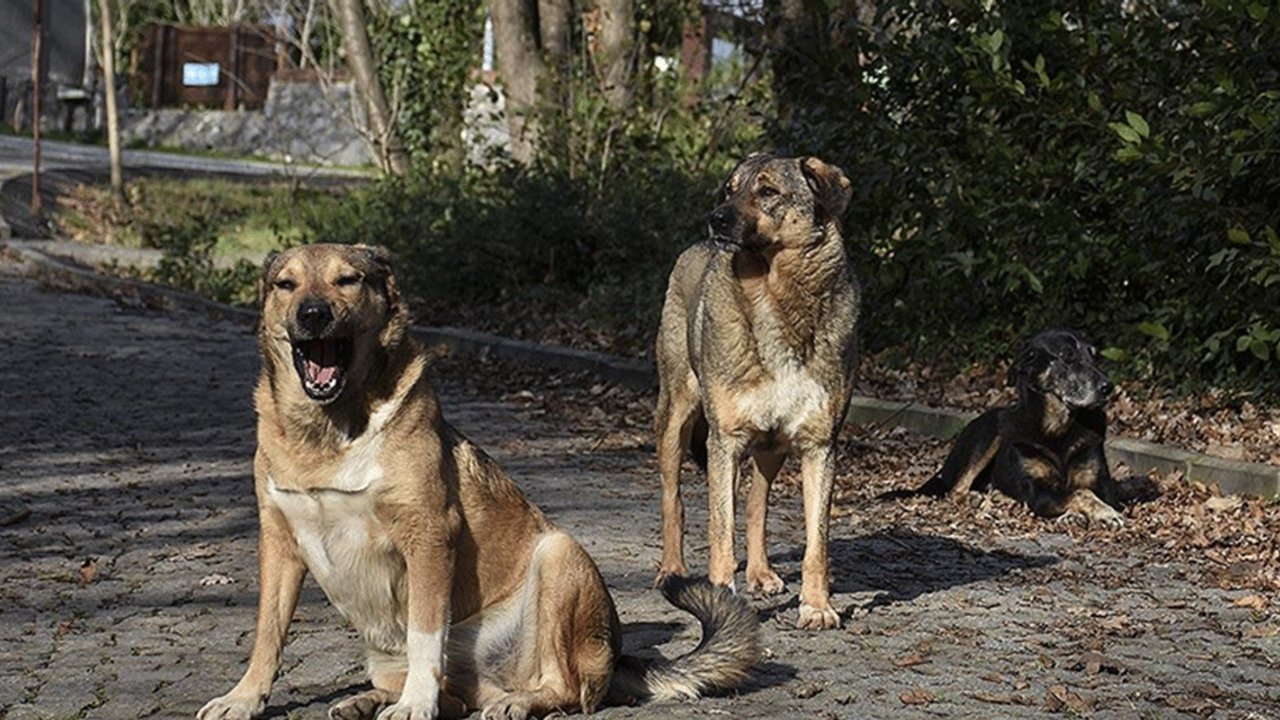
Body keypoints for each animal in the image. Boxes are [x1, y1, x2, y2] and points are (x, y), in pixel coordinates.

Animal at [199, 242, 757, 717]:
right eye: (286, 284)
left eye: (347, 279)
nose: (312, 315)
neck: (329, 433)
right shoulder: (279, 540)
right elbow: (267, 633)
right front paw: (244, 698)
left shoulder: (428, 534)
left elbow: (426, 634)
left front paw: (414, 706)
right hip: (382, 652)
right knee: (454, 697)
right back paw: (369, 701)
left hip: (559, 557)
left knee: (566, 690)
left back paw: (513, 703)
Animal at [660, 152, 860, 627]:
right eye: (729, 189)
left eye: (767, 191)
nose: (715, 219)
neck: (774, 295)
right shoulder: (724, 441)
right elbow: (719, 531)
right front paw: (720, 599)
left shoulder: (819, 446)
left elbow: (816, 544)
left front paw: (817, 606)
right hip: (676, 419)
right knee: (674, 500)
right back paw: (672, 569)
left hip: (772, 447)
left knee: (756, 503)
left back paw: (761, 573)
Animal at [885, 327, 1126, 525]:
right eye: (1068, 356)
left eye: (1094, 356)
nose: (1108, 387)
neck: (1057, 428)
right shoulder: (1038, 491)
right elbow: (1080, 494)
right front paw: (1103, 513)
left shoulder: (1101, 485)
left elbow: (1085, 492)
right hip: (992, 432)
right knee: (956, 490)